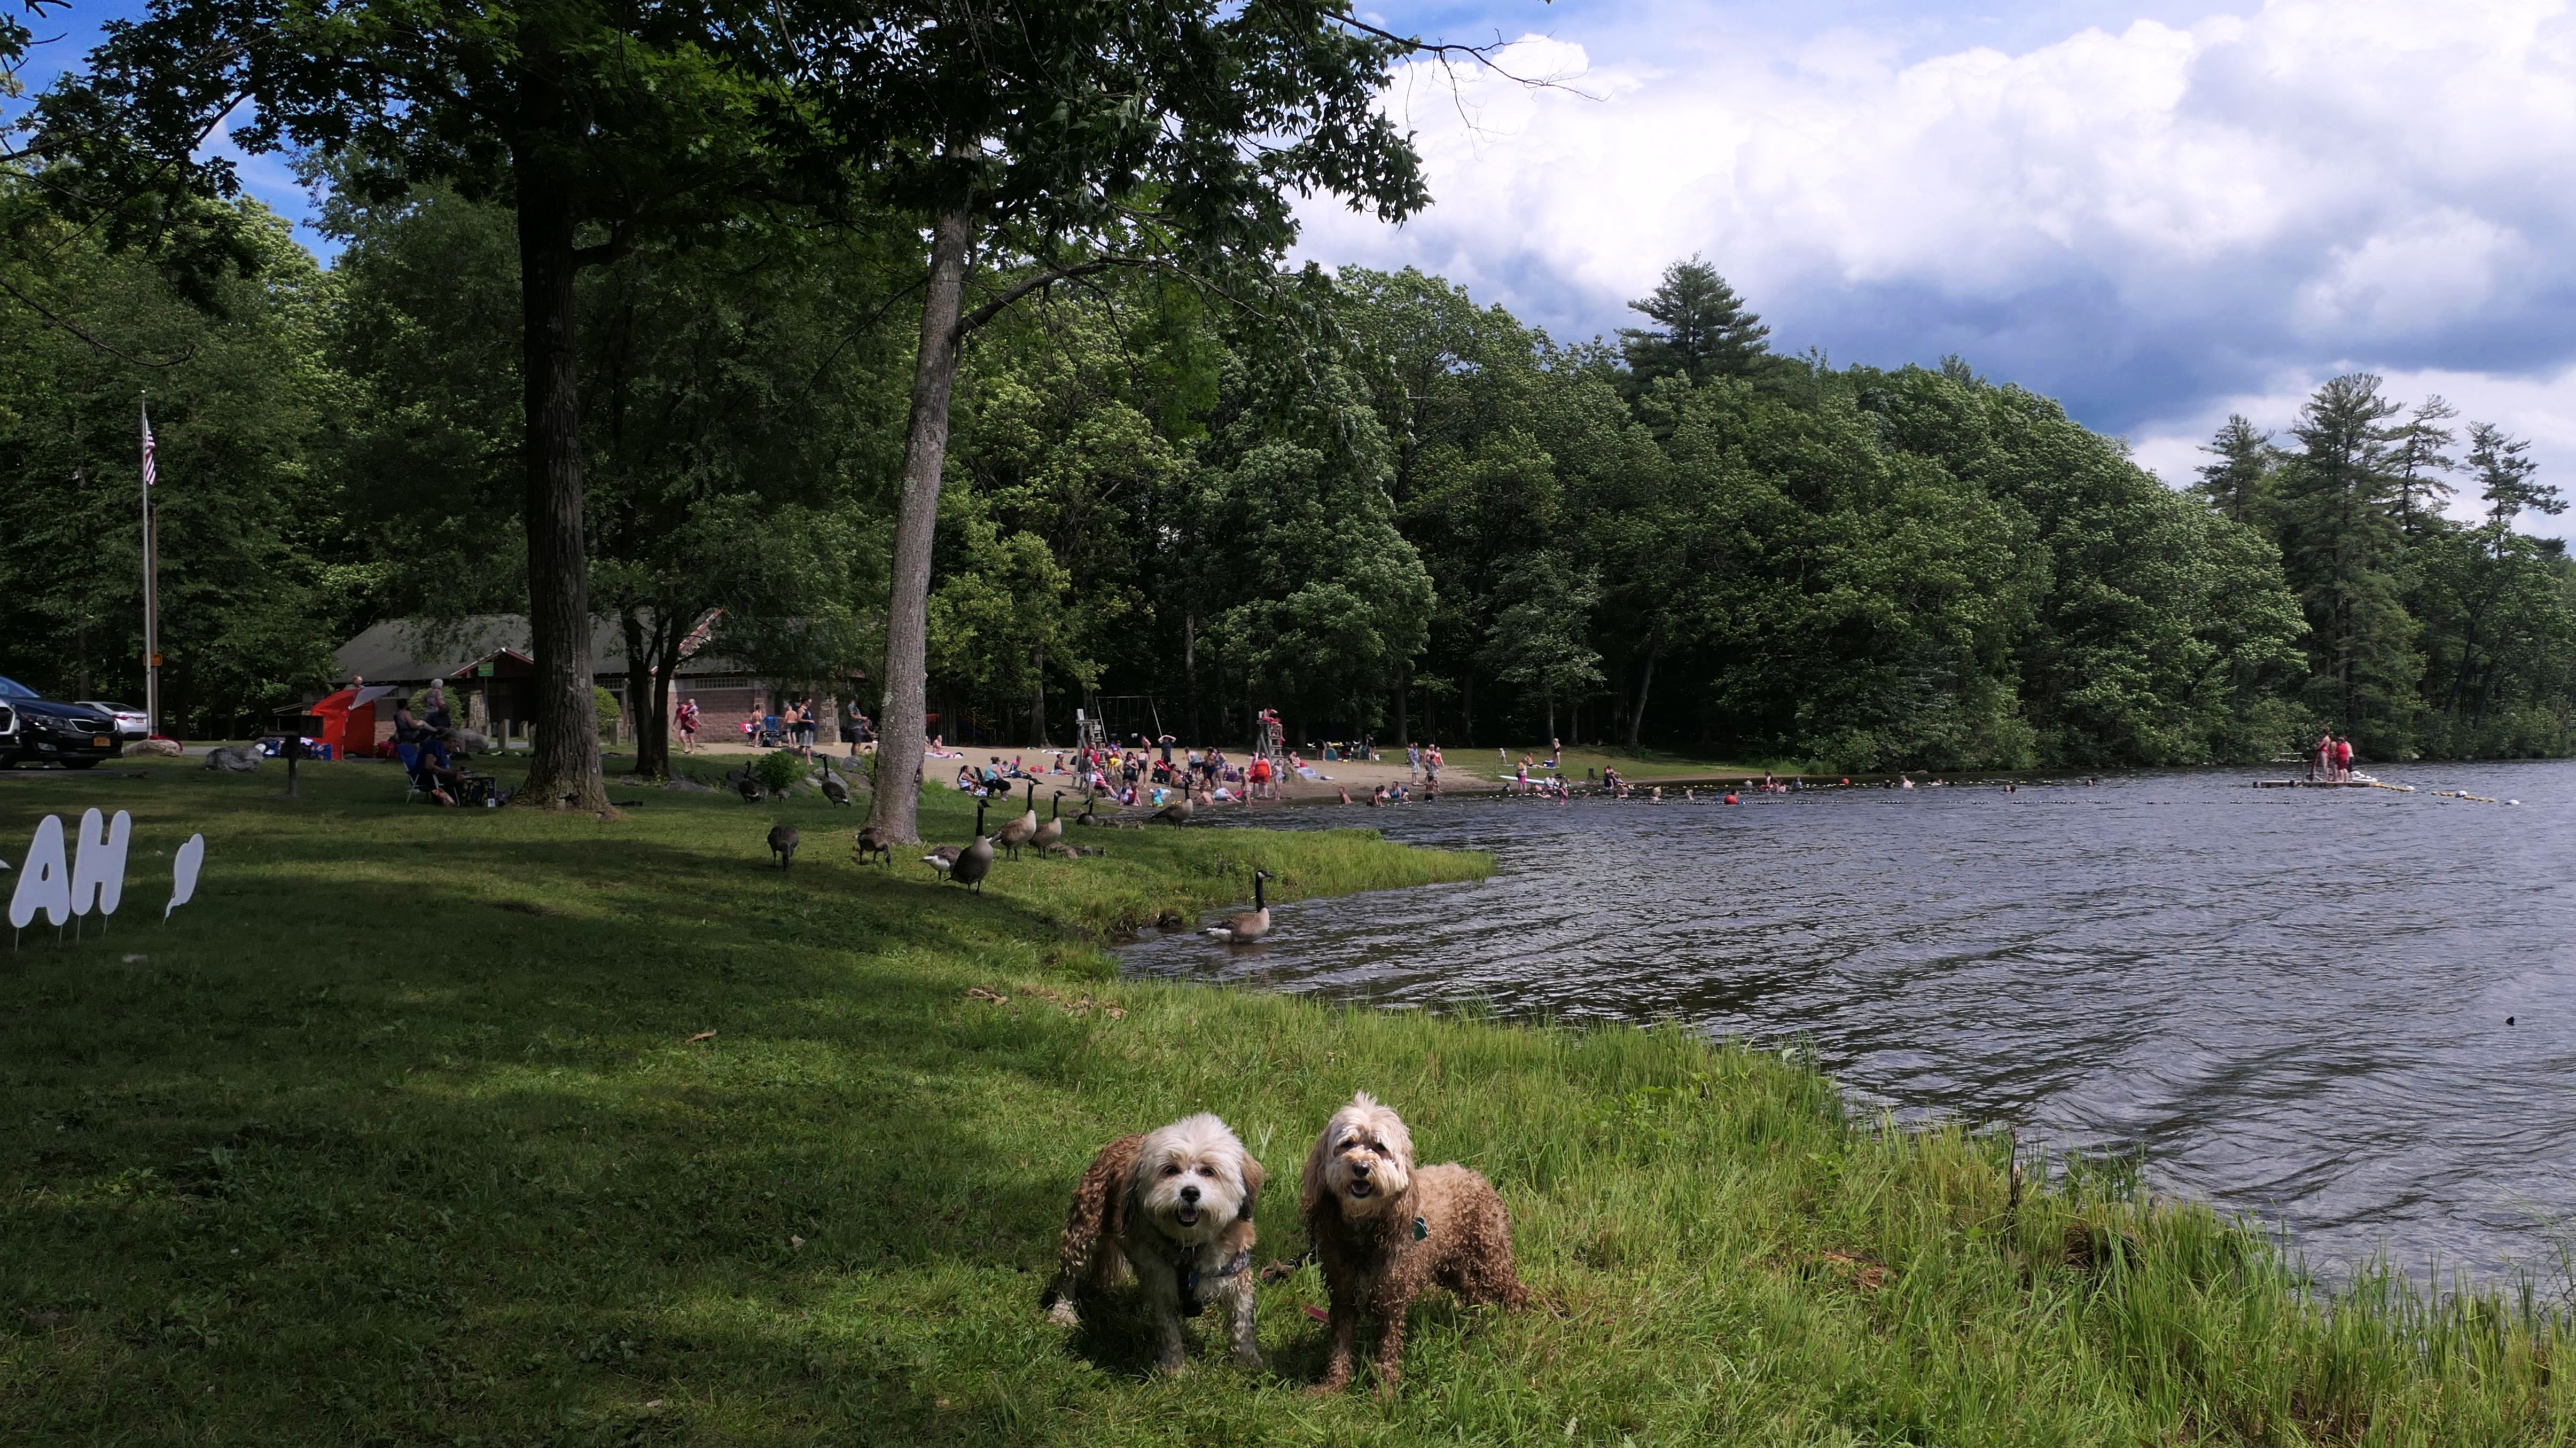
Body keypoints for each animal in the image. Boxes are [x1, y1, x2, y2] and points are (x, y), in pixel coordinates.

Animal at [1042, 1113, 1266, 1371]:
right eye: (1170, 1170)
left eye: (1208, 1171)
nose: (1190, 1192)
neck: (1191, 1248)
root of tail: (1121, 1141)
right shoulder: (1161, 1283)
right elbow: (1168, 1331)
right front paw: (1174, 1367)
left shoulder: (1238, 1278)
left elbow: (1242, 1324)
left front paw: (1248, 1361)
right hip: (1083, 1230)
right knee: (1068, 1277)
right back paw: (1063, 1313)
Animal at [1301, 1092, 1525, 1394]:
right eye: (1346, 1144)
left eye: (1380, 1147)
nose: (1360, 1167)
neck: (1365, 1233)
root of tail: (1474, 1175)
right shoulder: (1343, 1295)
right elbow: (1340, 1345)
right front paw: (1332, 1386)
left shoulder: (1392, 1299)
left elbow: (1388, 1350)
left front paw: (1383, 1392)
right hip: (1451, 1268)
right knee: (1472, 1293)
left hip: (1490, 1259)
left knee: (1514, 1291)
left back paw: (1514, 1322)